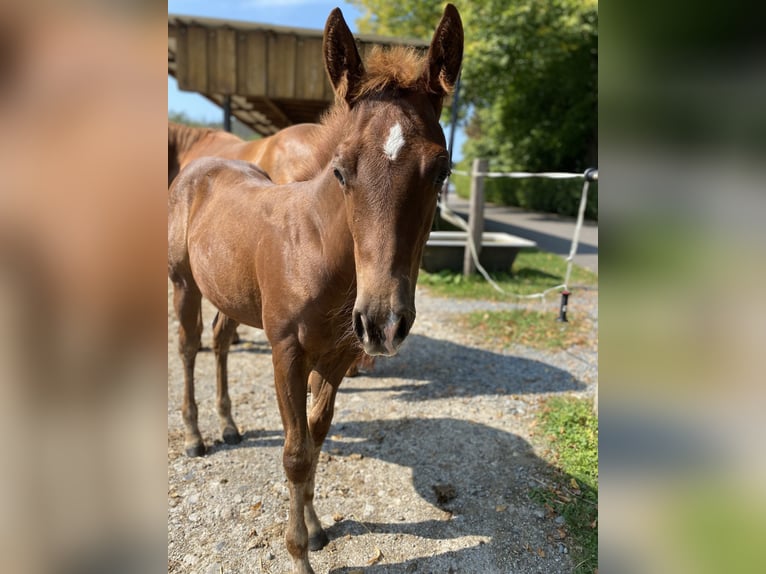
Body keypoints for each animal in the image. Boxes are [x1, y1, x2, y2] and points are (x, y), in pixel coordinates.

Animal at [169, 6, 464, 572]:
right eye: (341, 169)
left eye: (442, 169)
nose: (382, 322)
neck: (316, 250)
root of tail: (199, 165)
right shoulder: (287, 352)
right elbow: (295, 453)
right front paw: (299, 553)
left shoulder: (337, 357)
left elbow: (317, 436)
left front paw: (317, 526)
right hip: (183, 283)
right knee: (190, 347)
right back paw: (196, 437)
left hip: (232, 293)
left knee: (218, 341)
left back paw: (229, 425)